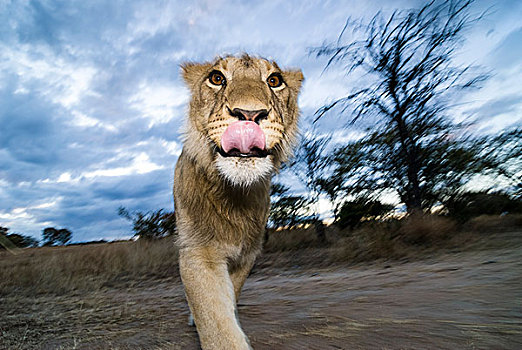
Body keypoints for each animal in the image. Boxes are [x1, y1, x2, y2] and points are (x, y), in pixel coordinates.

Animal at [174, 53, 302, 348]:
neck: (234, 194)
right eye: (216, 78)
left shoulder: (248, 253)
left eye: (274, 80)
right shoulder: (198, 250)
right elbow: (214, 318)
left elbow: (231, 294)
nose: (249, 115)